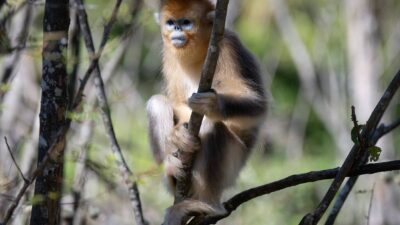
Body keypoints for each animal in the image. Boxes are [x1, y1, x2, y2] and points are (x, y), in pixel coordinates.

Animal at [145, 0, 268, 223]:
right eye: (171, 22)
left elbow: (258, 106)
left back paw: (209, 206)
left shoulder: (229, 47)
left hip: (233, 166)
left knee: (212, 125)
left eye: (186, 22)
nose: (177, 29)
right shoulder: (169, 54)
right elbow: (176, 101)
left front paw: (213, 105)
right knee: (157, 103)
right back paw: (172, 171)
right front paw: (178, 135)